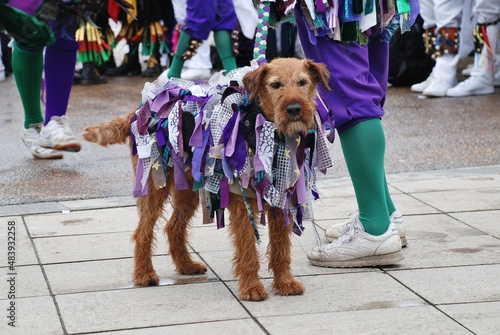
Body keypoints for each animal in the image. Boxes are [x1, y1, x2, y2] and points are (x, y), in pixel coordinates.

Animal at [83, 57, 330, 302]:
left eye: (303, 82)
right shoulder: (243, 202)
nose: (294, 109)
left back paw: (186, 265)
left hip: (187, 192)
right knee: (143, 232)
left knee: (173, 228)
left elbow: (281, 248)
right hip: (154, 186)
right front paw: (251, 288)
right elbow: (248, 248)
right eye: (275, 85)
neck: (262, 125)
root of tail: (139, 112)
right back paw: (144, 274)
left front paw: (285, 283)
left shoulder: (281, 198)